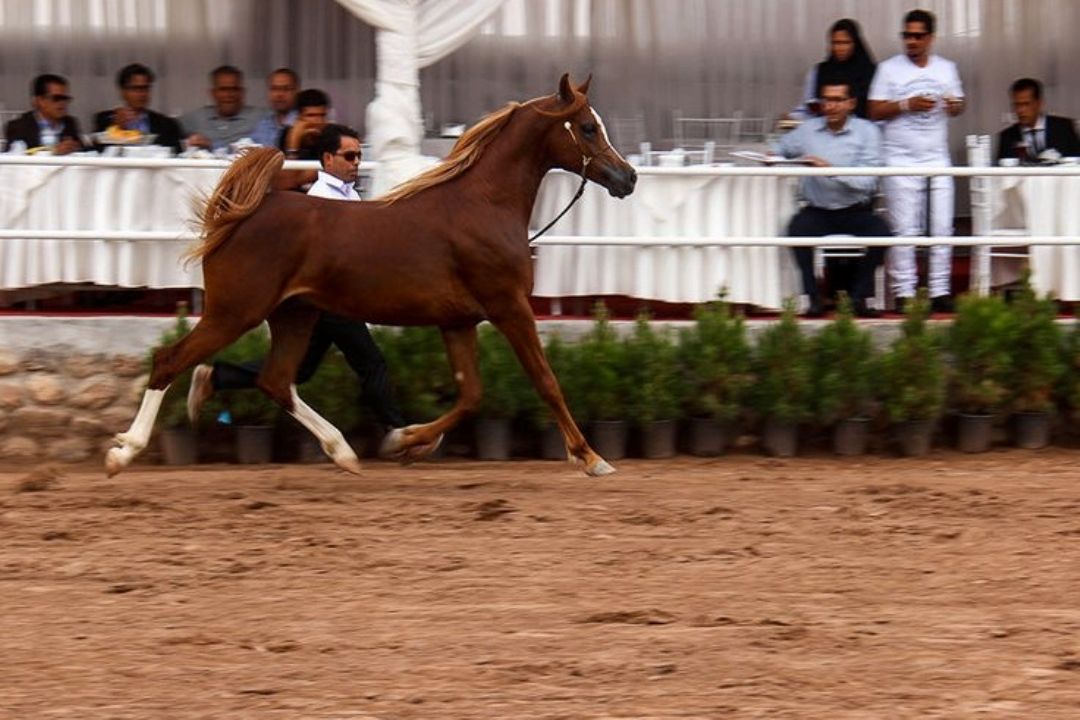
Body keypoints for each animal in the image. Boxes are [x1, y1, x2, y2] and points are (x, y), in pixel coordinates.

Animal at [104, 74, 630, 479]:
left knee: (275, 380)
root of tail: (239, 215)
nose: (627, 178)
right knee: (170, 361)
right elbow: (545, 380)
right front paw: (591, 458)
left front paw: (408, 440)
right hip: (235, 311)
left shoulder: (458, 321)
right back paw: (122, 453)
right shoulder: (509, 307)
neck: (482, 205)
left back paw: (343, 452)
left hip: (295, 315)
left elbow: (471, 396)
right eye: (587, 127)